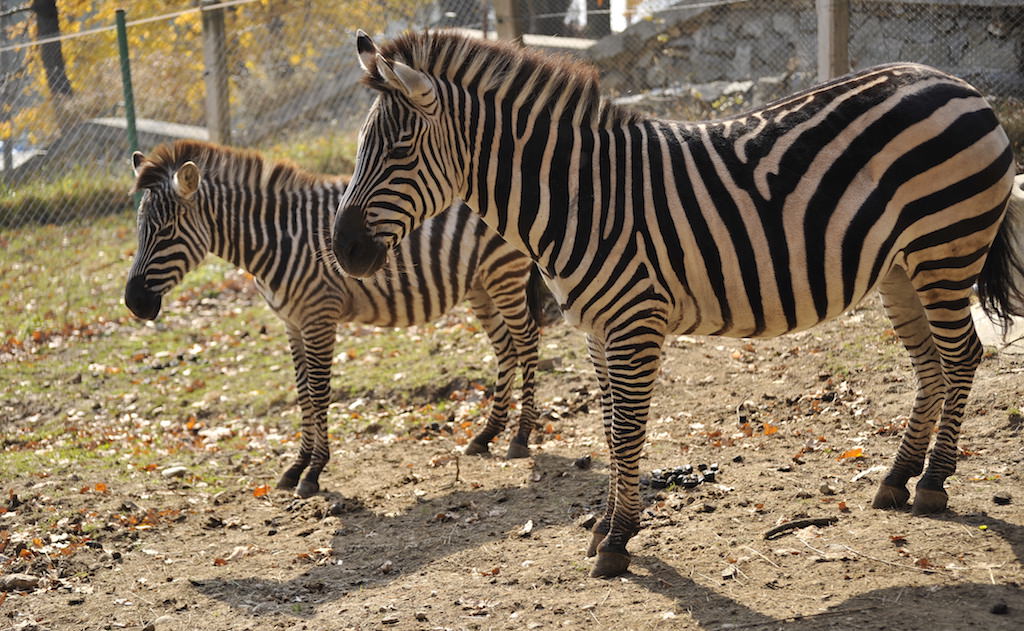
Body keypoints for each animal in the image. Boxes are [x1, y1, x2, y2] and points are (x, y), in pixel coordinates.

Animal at [128, 140, 561, 499]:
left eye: (166, 231)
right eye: (139, 229)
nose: (133, 303)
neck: (277, 239)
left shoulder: (319, 316)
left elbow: (320, 392)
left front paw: (314, 472)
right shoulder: (292, 323)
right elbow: (302, 393)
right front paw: (297, 466)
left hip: (503, 271)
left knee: (526, 341)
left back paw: (520, 437)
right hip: (479, 283)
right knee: (505, 348)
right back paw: (486, 435)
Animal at [331, 30, 1019, 577]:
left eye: (399, 151)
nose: (342, 251)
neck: (579, 197)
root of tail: (956, 81)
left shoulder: (635, 321)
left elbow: (628, 430)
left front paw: (617, 541)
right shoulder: (596, 329)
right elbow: (610, 429)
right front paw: (603, 526)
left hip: (945, 249)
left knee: (962, 356)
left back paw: (932, 483)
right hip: (900, 268)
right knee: (930, 366)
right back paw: (897, 478)